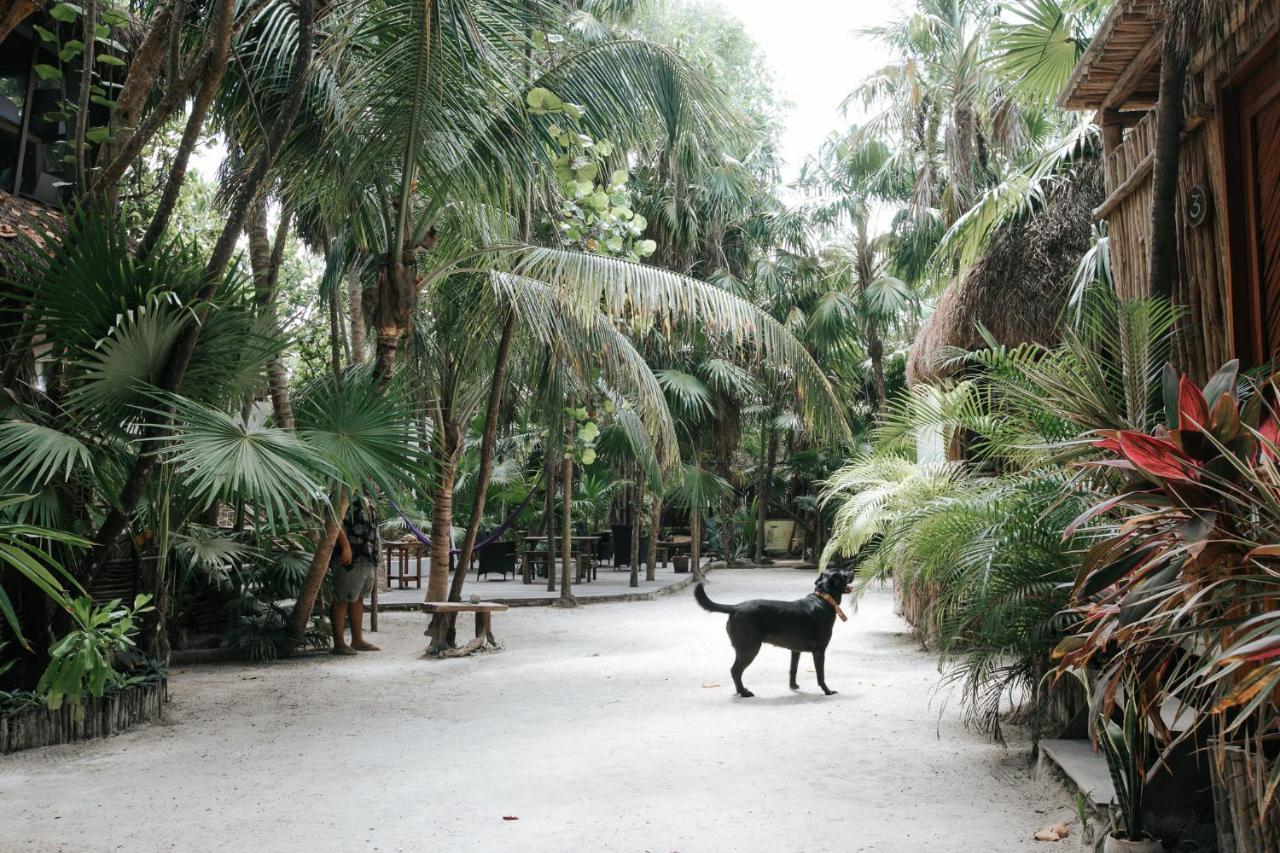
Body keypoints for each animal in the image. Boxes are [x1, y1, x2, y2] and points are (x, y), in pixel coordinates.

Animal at [696, 568, 855, 696]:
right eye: (842, 574)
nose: (853, 571)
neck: (823, 599)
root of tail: (735, 607)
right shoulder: (819, 651)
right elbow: (821, 675)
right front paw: (827, 691)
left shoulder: (795, 650)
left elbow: (793, 669)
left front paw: (793, 686)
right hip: (749, 649)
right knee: (735, 671)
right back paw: (743, 693)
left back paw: (740, 690)